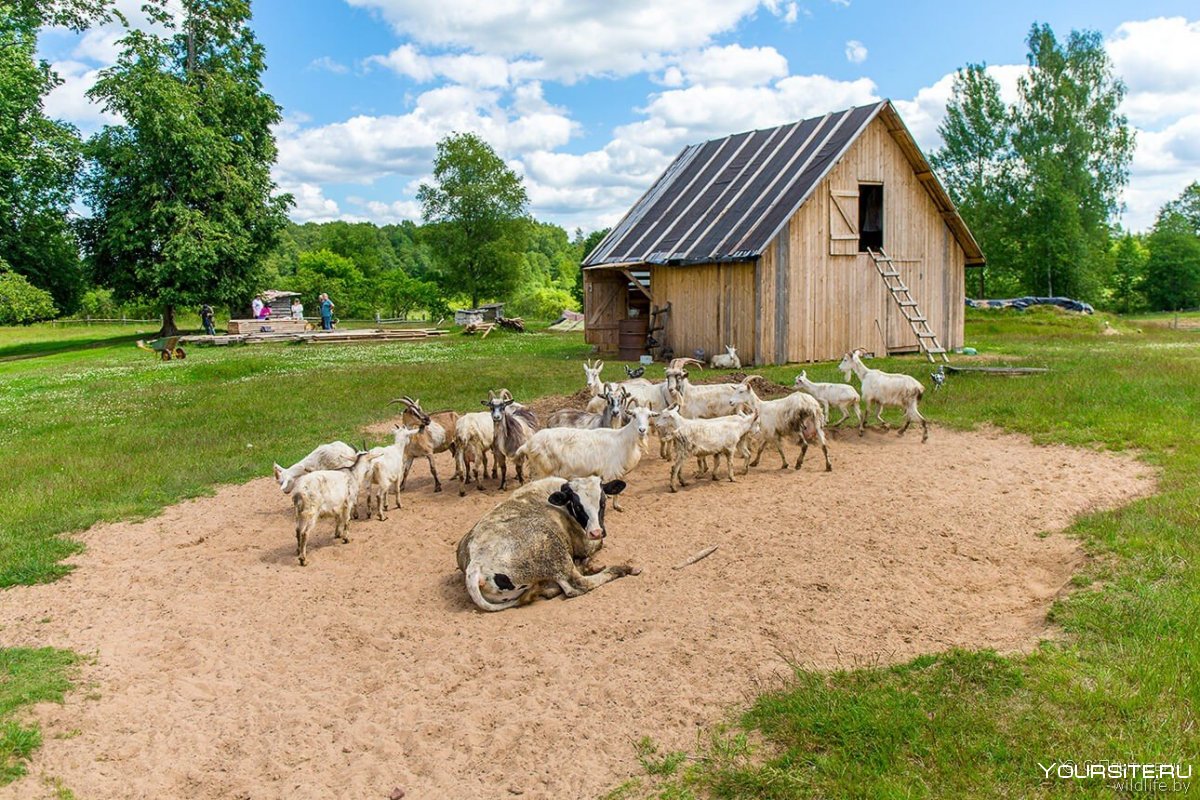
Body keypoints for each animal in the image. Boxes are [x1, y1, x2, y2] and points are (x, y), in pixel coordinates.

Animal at [451, 474, 638, 614]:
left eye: (602, 502)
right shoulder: (585, 544)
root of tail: (475, 564)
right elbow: (598, 545)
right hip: (556, 553)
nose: (596, 532)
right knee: (577, 585)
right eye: (578, 506)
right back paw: (620, 568)